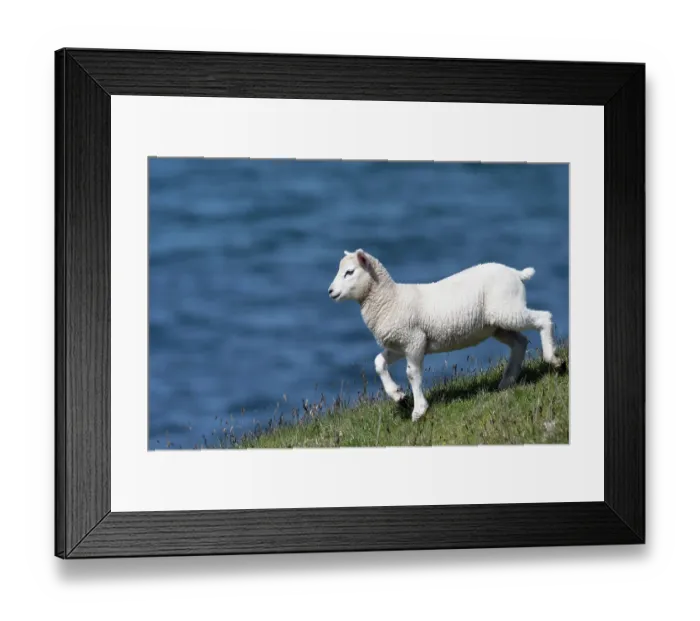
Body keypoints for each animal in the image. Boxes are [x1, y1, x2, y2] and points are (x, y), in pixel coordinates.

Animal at [328, 249, 562, 422]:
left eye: (349, 272)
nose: (330, 292)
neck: (390, 299)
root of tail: (516, 273)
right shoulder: (400, 344)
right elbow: (378, 363)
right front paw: (398, 396)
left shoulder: (414, 341)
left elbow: (412, 374)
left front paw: (418, 410)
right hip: (497, 323)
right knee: (520, 342)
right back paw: (508, 381)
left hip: (507, 310)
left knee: (544, 318)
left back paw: (554, 360)